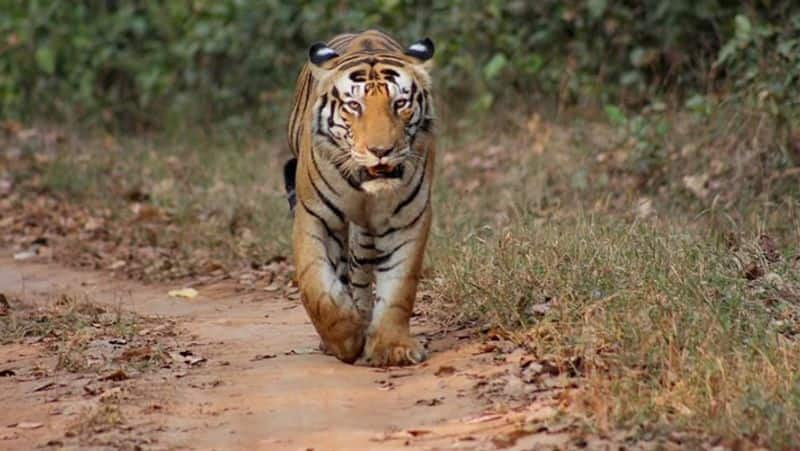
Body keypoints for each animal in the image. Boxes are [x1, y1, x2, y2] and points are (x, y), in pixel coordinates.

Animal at [282, 29, 434, 368]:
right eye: (354, 105)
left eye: (400, 103)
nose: (381, 150)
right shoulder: (314, 216)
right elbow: (316, 286)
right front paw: (345, 339)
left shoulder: (408, 218)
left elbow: (399, 286)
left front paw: (392, 347)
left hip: (365, 236)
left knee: (361, 270)